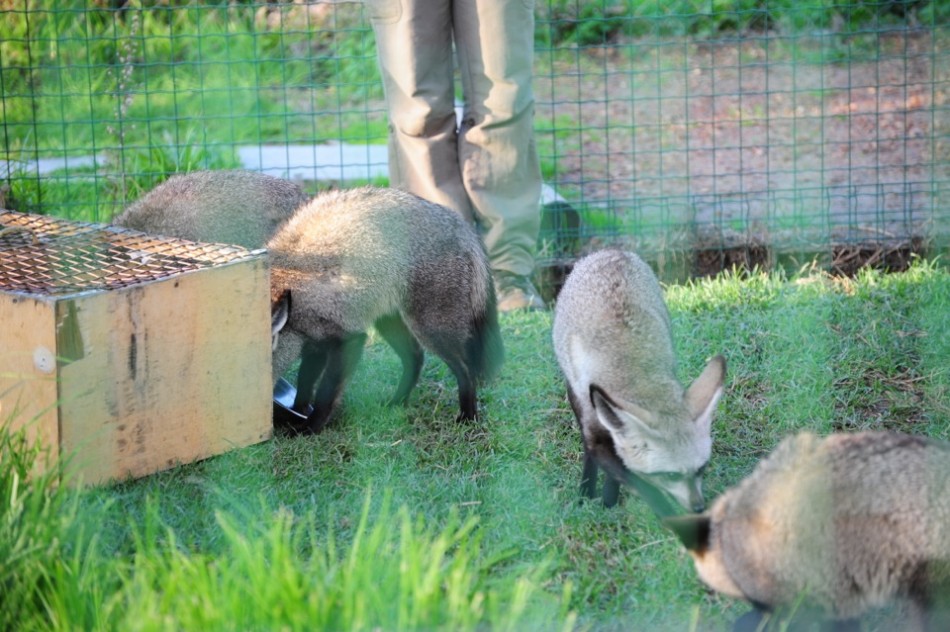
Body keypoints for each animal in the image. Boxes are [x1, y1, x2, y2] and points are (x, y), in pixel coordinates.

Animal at [267, 186, 504, 434]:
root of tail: (464, 227)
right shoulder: (316, 342)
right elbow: (305, 381)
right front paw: (300, 410)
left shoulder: (347, 339)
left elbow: (325, 394)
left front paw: (311, 427)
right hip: (390, 322)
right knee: (416, 357)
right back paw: (397, 402)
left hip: (431, 330)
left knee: (466, 370)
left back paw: (468, 418)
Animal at [551, 249, 726, 510]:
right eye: (671, 475)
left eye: (701, 468)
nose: (699, 507)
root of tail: (611, 251)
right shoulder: (596, 432)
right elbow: (643, 486)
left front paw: (609, 499)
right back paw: (586, 492)